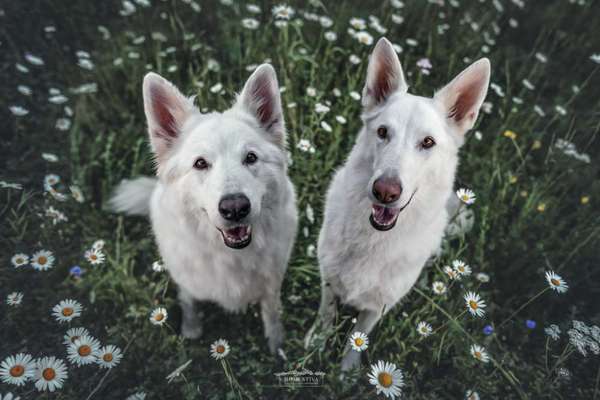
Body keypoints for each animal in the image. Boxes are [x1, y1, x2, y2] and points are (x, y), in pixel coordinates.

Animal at [110, 63, 298, 354]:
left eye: (250, 158)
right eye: (200, 163)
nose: (235, 208)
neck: (230, 255)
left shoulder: (272, 283)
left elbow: (271, 312)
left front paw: (276, 344)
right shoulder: (186, 281)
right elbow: (189, 301)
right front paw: (191, 330)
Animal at [310, 37, 488, 368]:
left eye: (428, 142)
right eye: (382, 132)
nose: (385, 191)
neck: (374, 238)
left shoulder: (378, 306)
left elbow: (356, 341)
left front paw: (346, 373)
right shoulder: (328, 279)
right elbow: (327, 316)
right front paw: (314, 346)